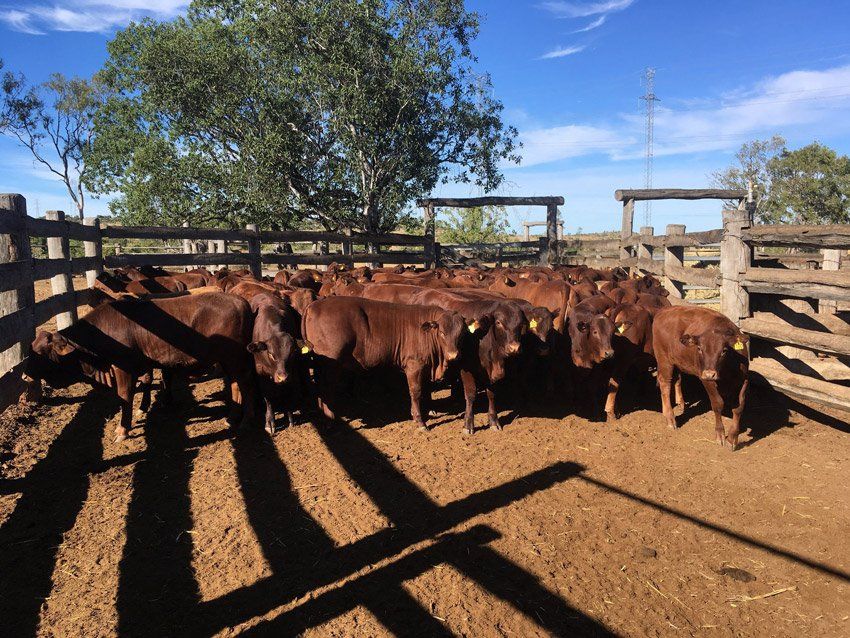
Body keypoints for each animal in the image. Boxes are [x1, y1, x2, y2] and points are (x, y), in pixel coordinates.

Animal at [25, 292, 256, 443]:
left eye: (41, 353)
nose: (25, 374)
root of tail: (241, 302)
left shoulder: (123, 368)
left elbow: (125, 396)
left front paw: (122, 429)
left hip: (234, 358)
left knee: (245, 384)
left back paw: (246, 422)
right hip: (227, 361)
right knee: (235, 384)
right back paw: (232, 417)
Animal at [301, 296, 470, 430]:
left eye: (461, 333)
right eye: (442, 333)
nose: (453, 355)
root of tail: (315, 304)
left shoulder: (426, 365)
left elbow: (426, 388)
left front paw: (429, 409)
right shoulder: (414, 365)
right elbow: (416, 391)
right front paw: (420, 421)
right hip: (331, 363)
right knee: (327, 389)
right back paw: (330, 421)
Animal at [652, 306, 750, 449]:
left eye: (724, 350)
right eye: (699, 348)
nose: (709, 373)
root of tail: (664, 310)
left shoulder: (744, 380)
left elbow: (739, 408)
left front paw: (732, 439)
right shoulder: (706, 380)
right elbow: (717, 404)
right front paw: (720, 435)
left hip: (678, 361)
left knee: (676, 379)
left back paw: (680, 404)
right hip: (664, 359)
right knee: (665, 383)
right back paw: (670, 418)